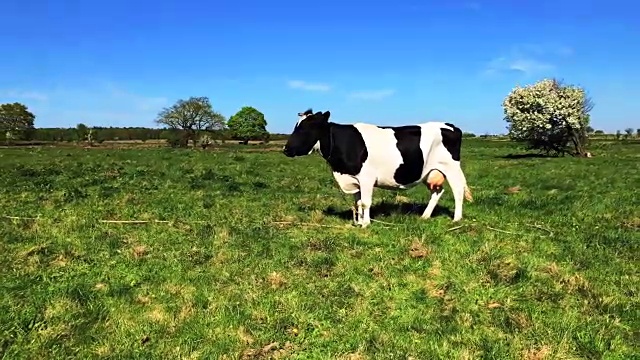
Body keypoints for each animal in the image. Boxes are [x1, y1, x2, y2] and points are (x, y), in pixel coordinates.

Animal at [282, 109, 472, 228]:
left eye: (306, 129)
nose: (285, 149)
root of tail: (451, 126)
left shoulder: (366, 177)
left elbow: (366, 202)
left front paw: (365, 224)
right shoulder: (355, 179)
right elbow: (358, 202)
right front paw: (358, 222)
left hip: (451, 168)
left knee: (457, 191)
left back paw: (456, 219)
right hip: (429, 172)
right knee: (437, 191)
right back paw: (425, 216)